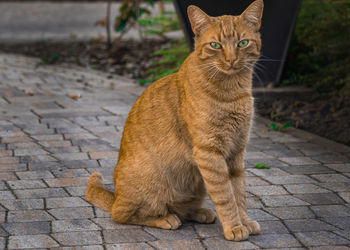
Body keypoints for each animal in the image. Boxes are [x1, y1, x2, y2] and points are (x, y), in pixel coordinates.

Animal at [86, 0, 264, 242]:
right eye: (215, 45)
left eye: (243, 43)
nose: (231, 60)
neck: (233, 92)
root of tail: (115, 196)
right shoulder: (209, 152)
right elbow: (226, 195)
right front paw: (235, 227)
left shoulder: (236, 152)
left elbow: (238, 192)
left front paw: (244, 221)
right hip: (151, 185)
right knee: (124, 215)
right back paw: (166, 218)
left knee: (180, 209)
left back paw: (199, 212)